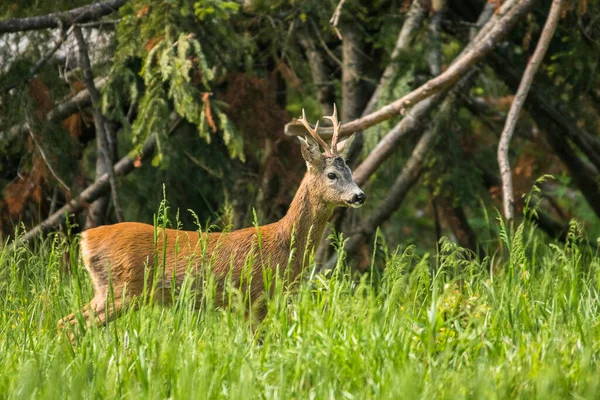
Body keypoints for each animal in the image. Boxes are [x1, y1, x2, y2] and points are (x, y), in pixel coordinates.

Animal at [58, 104, 366, 336]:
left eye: (350, 170)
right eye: (331, 175)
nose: (360, 195)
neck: (281, 245)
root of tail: (86, 239)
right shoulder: (253, 296)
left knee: (67, 322)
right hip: (120, 289)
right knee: (69, 326)